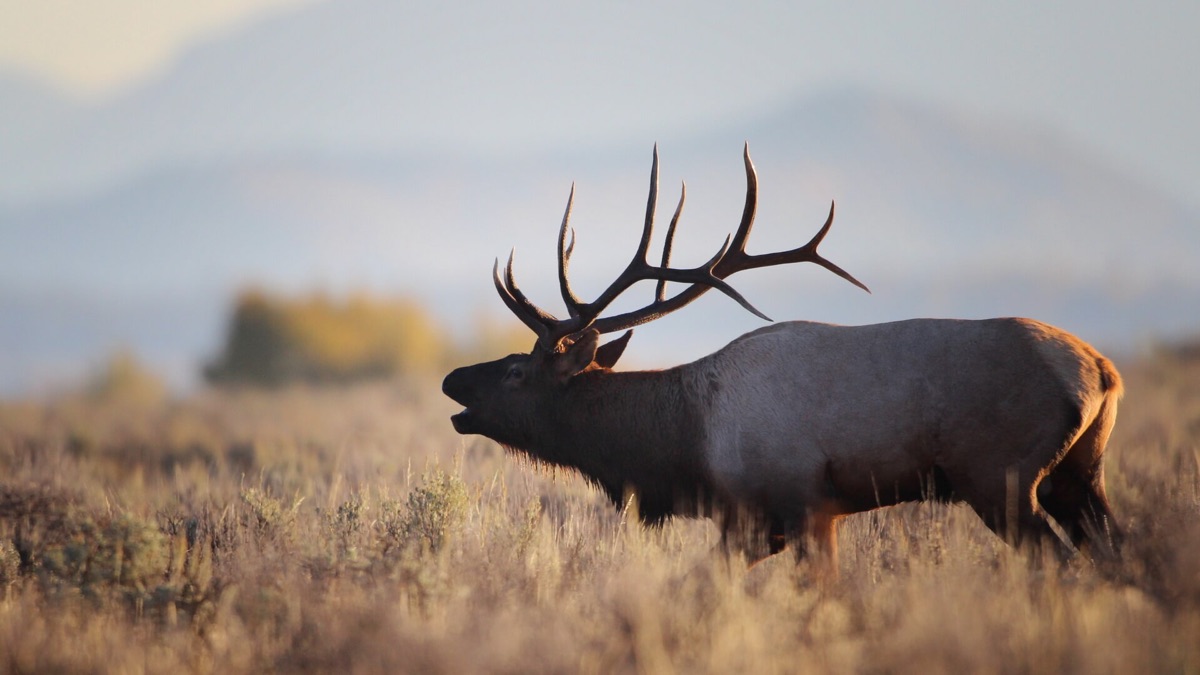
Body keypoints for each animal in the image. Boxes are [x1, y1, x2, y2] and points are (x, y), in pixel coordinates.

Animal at [442, 145, 1124, 569]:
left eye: (516, 371)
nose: (452, 380)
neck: (684, 444)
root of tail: (1102, 372)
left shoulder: (797, 504)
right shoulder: (757, 525)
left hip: (999, 477)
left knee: (1062, 563)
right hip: (1076, 476)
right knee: (1117, 554)